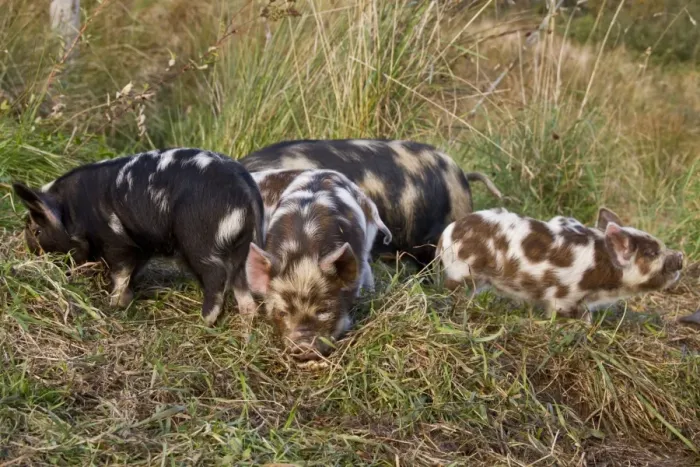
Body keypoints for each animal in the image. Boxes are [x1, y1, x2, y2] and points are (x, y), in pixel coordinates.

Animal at [12, 148, 265, 325]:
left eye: (36, 230)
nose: (30, 251)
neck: (74, 210)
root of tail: (245, 187)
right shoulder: (142, 246)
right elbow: (132, 272)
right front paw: (127, 298)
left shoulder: (115, 240)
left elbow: (121, 272)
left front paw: (114, 304)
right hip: (242, 246)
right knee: (241, 281)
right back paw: (247, 320)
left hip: (200, 240)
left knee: (217, 276)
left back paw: (202, 322)